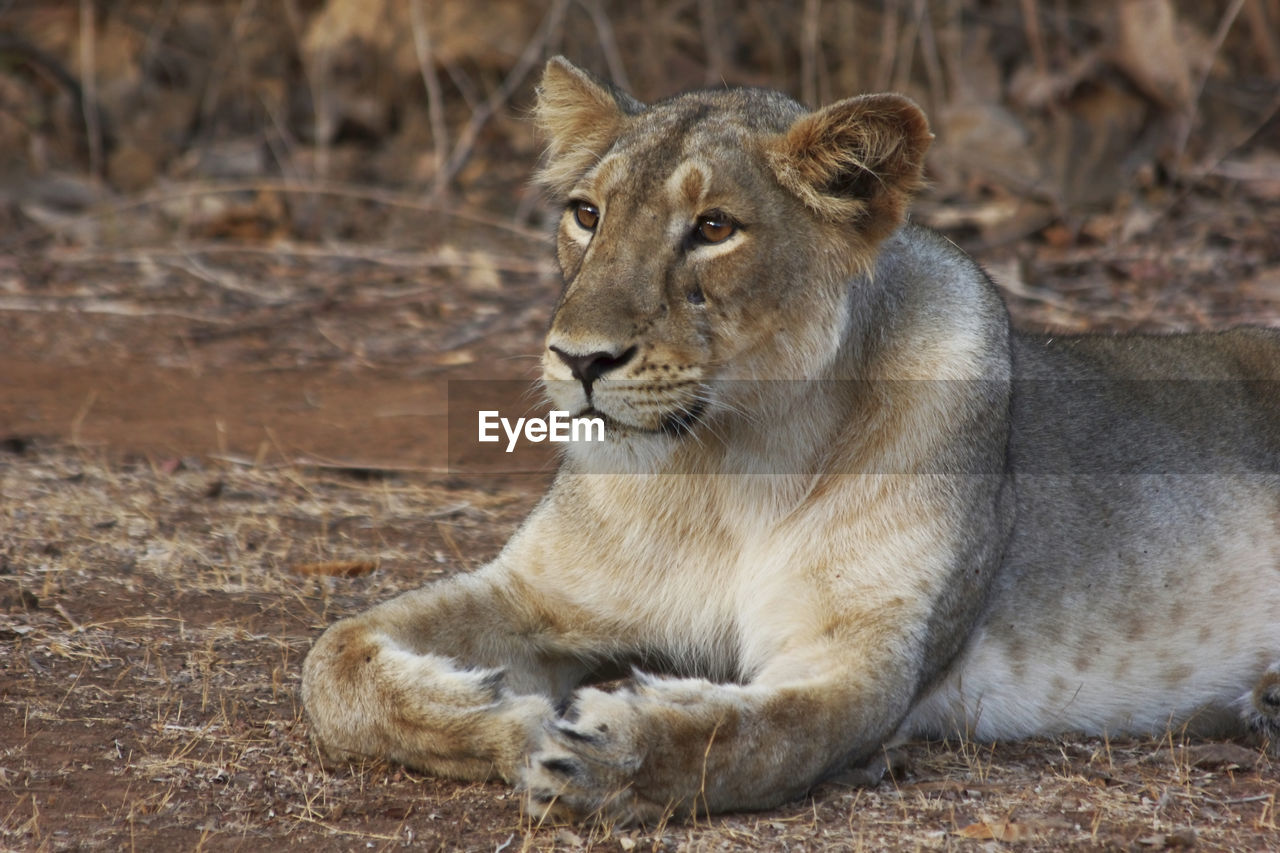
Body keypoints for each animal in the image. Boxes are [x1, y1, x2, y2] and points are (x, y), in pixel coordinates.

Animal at [302, 56, 1280, 819]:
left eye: (713, 228)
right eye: (586, 214)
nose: (580, 360)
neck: (720, 465)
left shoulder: (864, 660)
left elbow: (752, 734)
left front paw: (610, 750)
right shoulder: (540, 590)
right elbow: (331, 662)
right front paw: (503, 717)